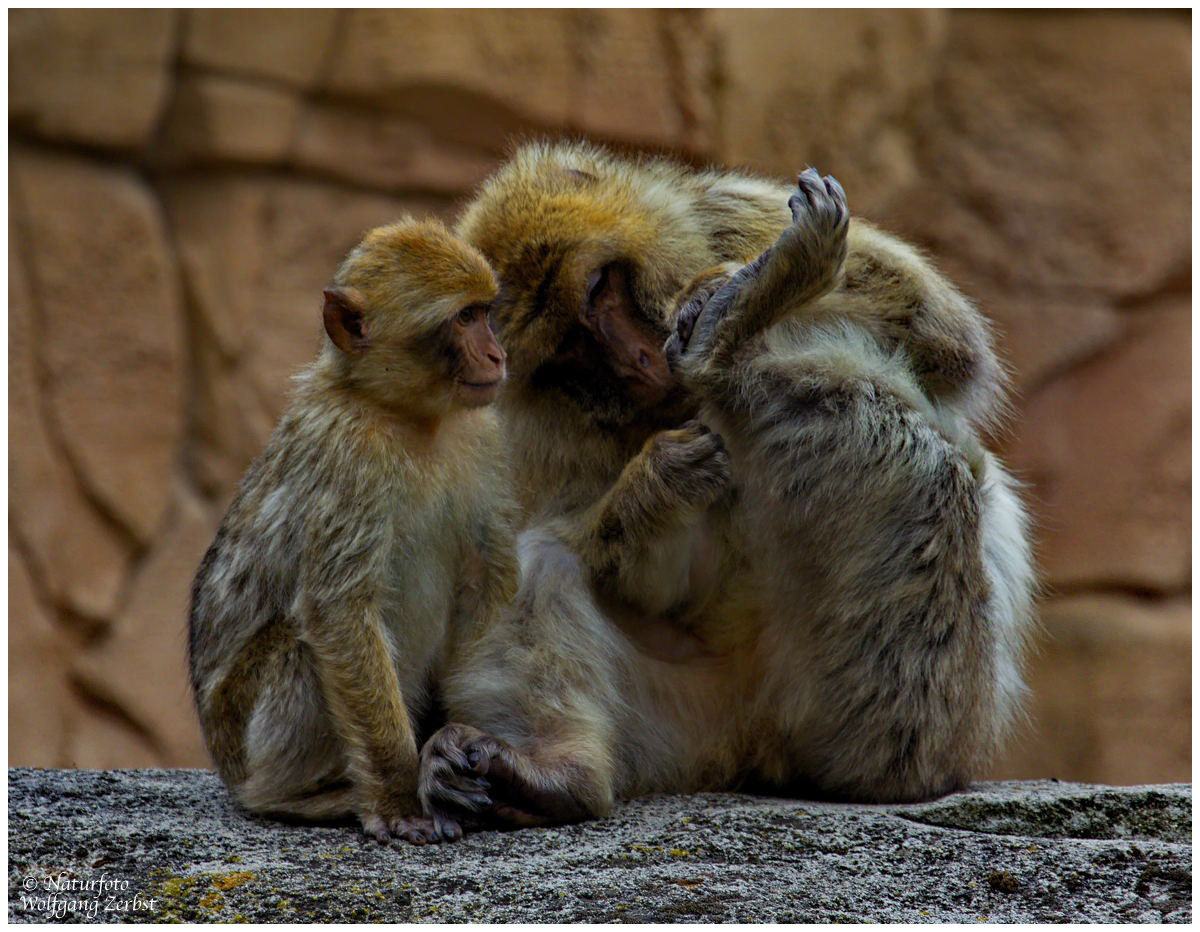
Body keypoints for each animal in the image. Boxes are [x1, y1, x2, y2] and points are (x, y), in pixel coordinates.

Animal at [189, 218, 518, 844]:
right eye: (464, 318)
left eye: (485, 313)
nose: (496, 353)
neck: (407, 416)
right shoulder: (349, 455)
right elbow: (339, 612)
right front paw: (399, 794)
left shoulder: (487, 436)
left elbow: (486, 592)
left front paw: (464, 745)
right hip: (245, 731)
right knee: (297, 648)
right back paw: (300, 797)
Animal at [415, 139, 1032, 834]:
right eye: (572, 351)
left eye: (600, 289)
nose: (638, 359)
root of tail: (758, 742)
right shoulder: (534, 431)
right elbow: (644, 576)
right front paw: (656, 481)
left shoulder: (728, 215)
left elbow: (948, 347)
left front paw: (722, 290)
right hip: (688, 727)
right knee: (536, 560)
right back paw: (549, 776)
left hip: (931, 714)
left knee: (916, 462)